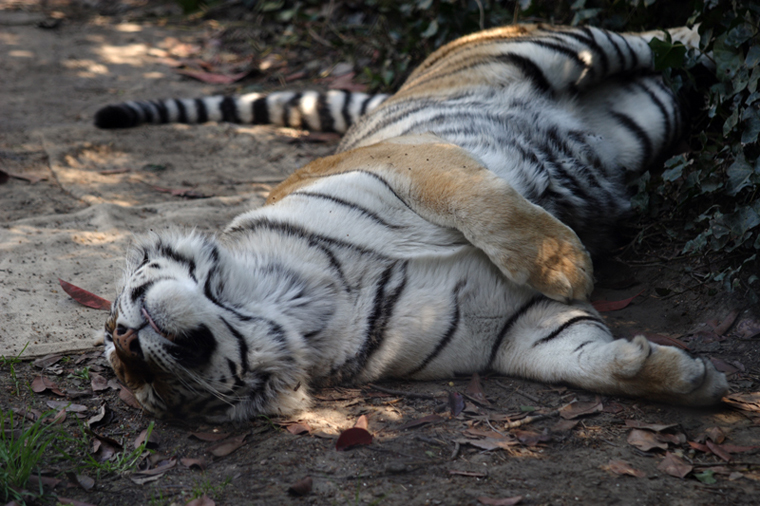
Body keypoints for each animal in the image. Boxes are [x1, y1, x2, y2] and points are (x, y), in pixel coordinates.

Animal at [98, 21, 728, 422]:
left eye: (114, 322)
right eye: (148, 389)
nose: (126, 344)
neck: (289, 309)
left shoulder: (413, 162)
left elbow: (484, 203)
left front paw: (564, 264)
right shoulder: (511, 326)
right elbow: (576, 359)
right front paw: (687, 382)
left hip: (565, 47)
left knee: (665, 34)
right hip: (650, 115)